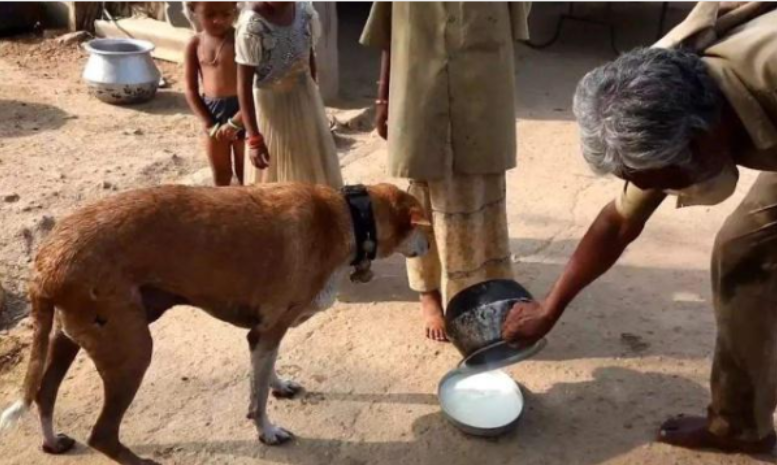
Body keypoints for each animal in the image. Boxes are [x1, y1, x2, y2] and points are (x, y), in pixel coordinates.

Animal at [0, 181, 430, 464]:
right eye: (422, 228)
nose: (428, 247)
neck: (351, 216)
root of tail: (46, 263)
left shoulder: (266, 335)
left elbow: (264, 375)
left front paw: (278, 386)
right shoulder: (267, 330)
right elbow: (257, 398)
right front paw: (266, 432)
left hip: (67, 339)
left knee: (45, 395)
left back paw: (52, 442)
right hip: (132, 352)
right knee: (102, 434)